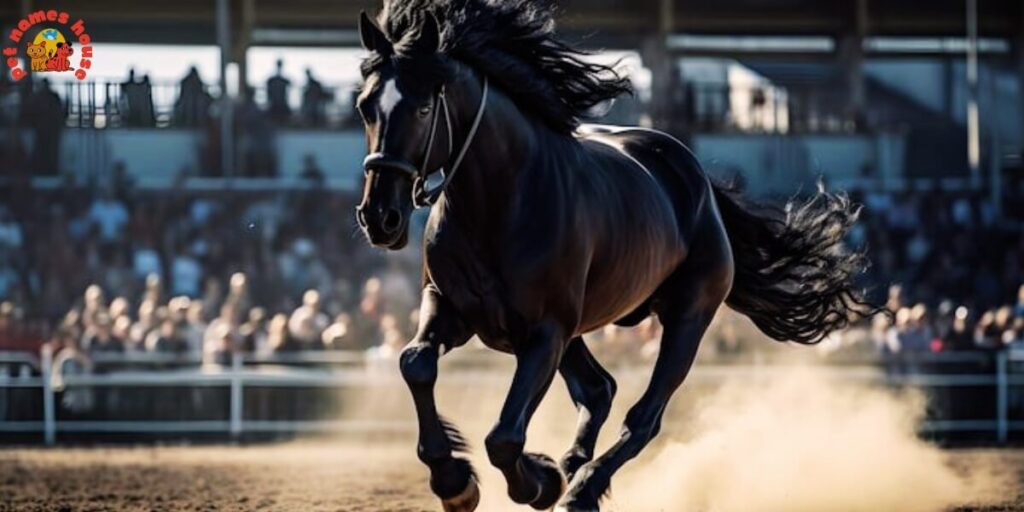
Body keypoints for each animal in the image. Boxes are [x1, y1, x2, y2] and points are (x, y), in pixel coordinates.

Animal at [353, 1, 877, 510]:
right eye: (364, 107)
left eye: (424, 107)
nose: (380, 218)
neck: (503, 203)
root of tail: (701, 183)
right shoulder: (453, 307)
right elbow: (416, 363)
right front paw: (455, 480)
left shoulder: (545, 332)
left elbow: (504, 437)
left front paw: (538, 483)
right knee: (599, 389)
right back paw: (571, 466)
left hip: (687, 317)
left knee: (643, 416)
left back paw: (580, 489)